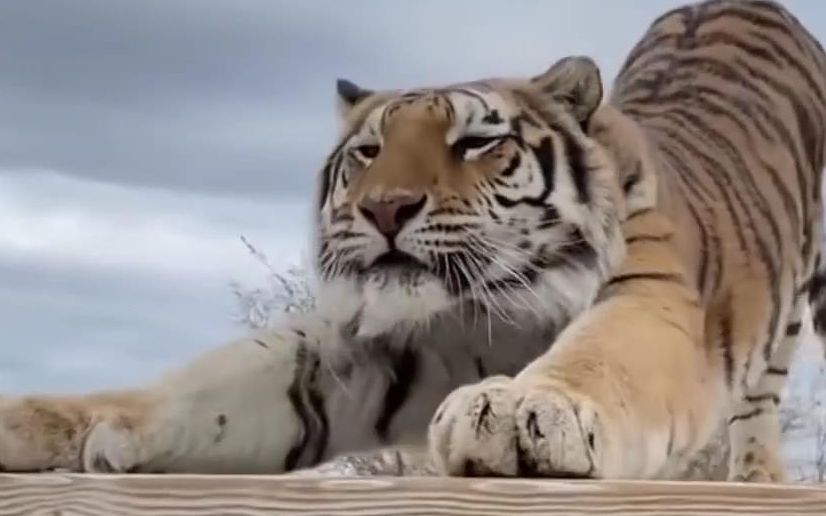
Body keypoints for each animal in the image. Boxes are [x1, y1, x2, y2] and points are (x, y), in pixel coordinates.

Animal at [0, 0, 820, 484]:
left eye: (476, 142)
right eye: (368, 152)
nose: (384, 209)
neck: (501, 306)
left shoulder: (653, 298)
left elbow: (601, 355)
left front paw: (523, 412)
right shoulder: (367, 347)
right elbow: (197, 391)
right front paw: (41, 421)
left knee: (758, 403)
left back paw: (757, 481)